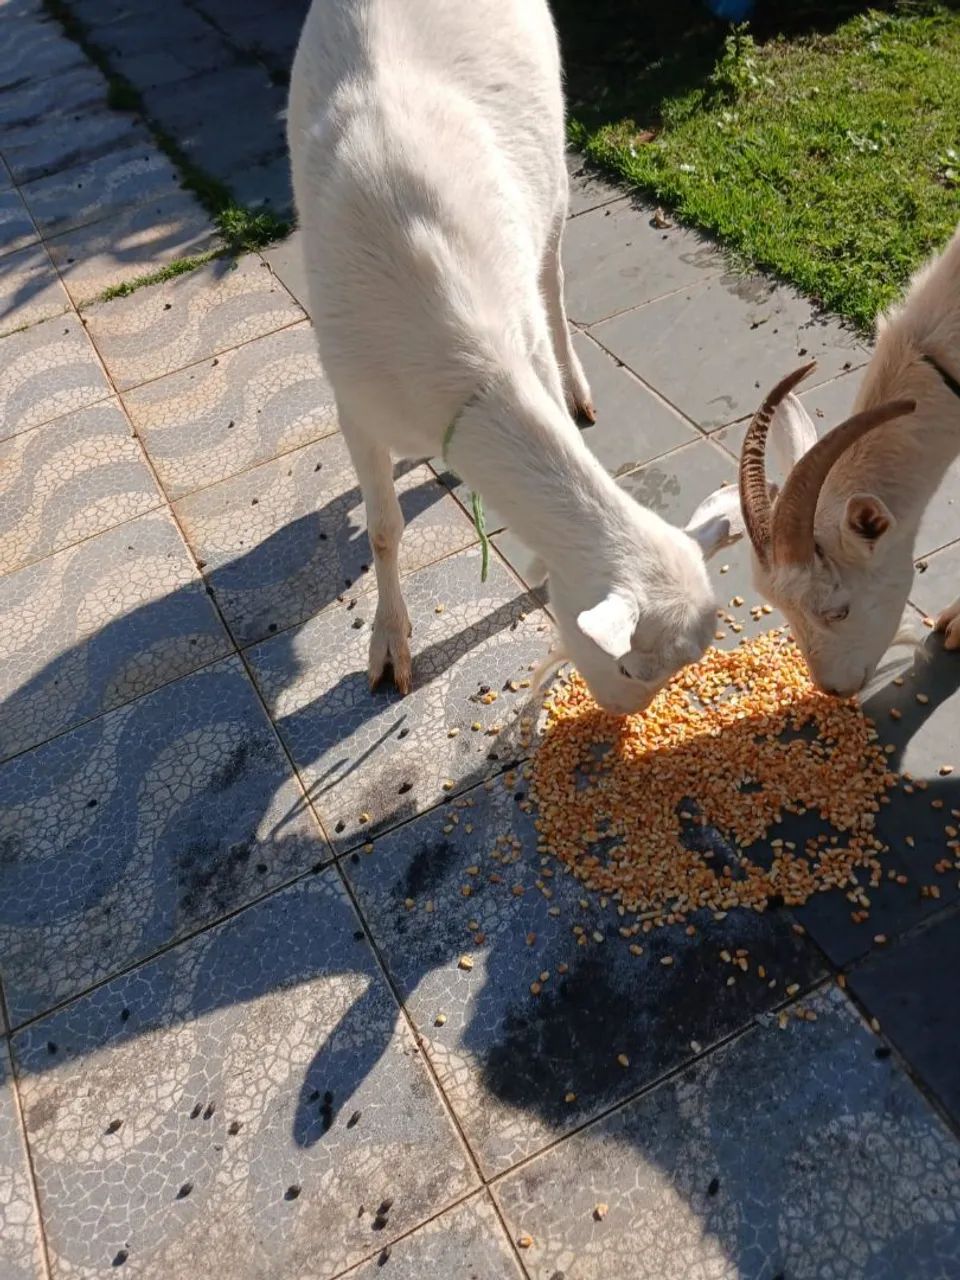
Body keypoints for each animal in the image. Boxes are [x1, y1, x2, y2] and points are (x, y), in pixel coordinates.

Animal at [287, 0, 728, 715]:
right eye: (630, 666)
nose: (621, 713)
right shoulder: (352, 395)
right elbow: (382, 528)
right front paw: (389, 649)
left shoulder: (523, 345)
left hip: (553, 162)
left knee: (553, 277)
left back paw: (579, 392)